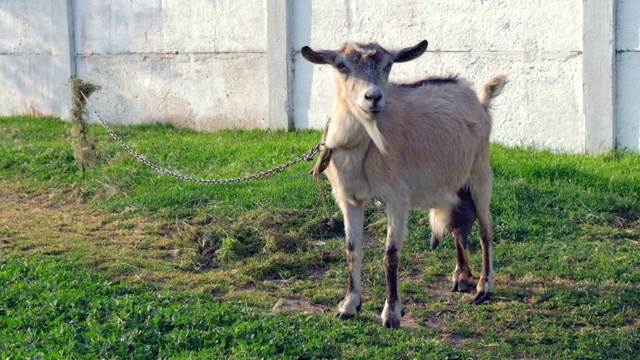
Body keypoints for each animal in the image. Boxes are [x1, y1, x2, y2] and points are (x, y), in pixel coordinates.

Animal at [302, 40, 508, 330]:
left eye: (388, 65)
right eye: (341, 66)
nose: (373, 97)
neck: (365, 145)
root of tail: (480, 101)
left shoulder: (397, 198)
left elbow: (391, 255)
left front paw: (391, 314)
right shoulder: (349, 198)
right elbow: (352, 250)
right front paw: (349, 305)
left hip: (480, 175)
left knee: (485, 229)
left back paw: (484, 287)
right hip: (456, 184)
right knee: (459, 226)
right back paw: (461, 277)